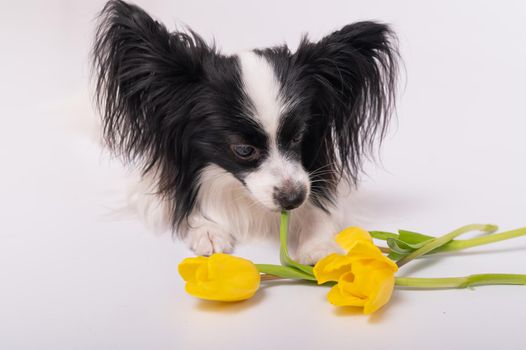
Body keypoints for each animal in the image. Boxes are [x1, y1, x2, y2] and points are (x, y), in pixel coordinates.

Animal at [92, 0, 400, 262]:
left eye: (298, 136)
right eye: (243, 150)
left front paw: (319, 245)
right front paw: (206, 230)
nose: (293, 199)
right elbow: (178, 204)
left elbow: (321, 211)